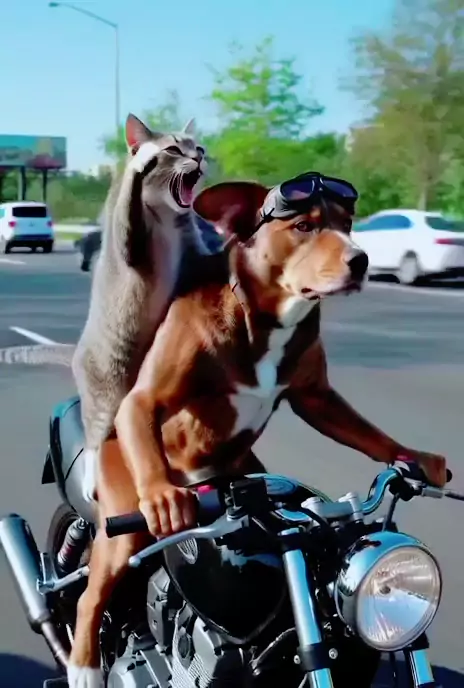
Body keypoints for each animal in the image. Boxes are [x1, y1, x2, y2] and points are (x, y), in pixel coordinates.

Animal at [67, 177, 447, 687]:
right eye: (304, 226)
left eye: (347, 222)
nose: (361, 260)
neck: (267, 319)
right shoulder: (148, 394)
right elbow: (143, 401)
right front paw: (166, 500)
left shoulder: (315, 395)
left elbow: (352, 423)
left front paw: (416, 460)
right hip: (120, 519)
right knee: (90, 595)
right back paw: (83, 666)